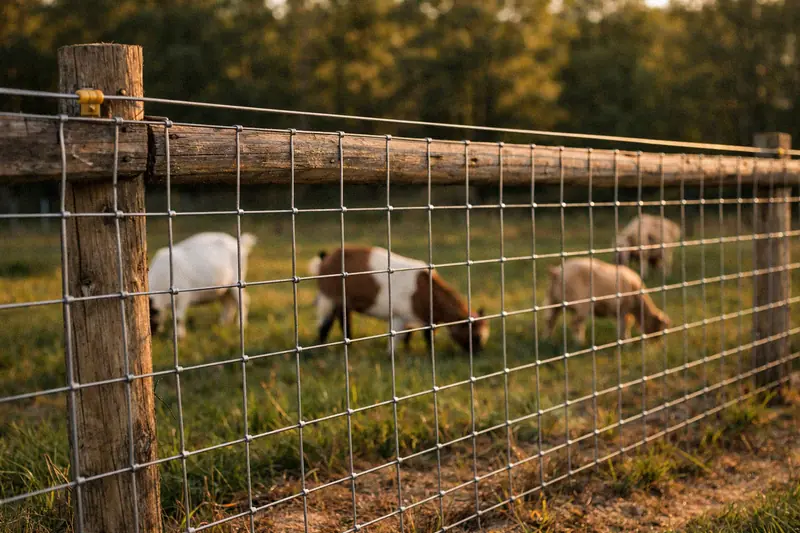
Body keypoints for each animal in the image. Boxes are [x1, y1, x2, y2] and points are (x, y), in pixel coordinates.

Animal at [308, 245, 489, 354]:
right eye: (476, 337)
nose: (478, 353)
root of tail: (326, 257)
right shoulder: (398, 317)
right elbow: (401, 337)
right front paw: (391, 355)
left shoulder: (418, 318)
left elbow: (415, 335)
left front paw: (409, 350)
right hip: (328, 297)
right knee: (325, 323)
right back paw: (322, 346)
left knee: (343, 318)